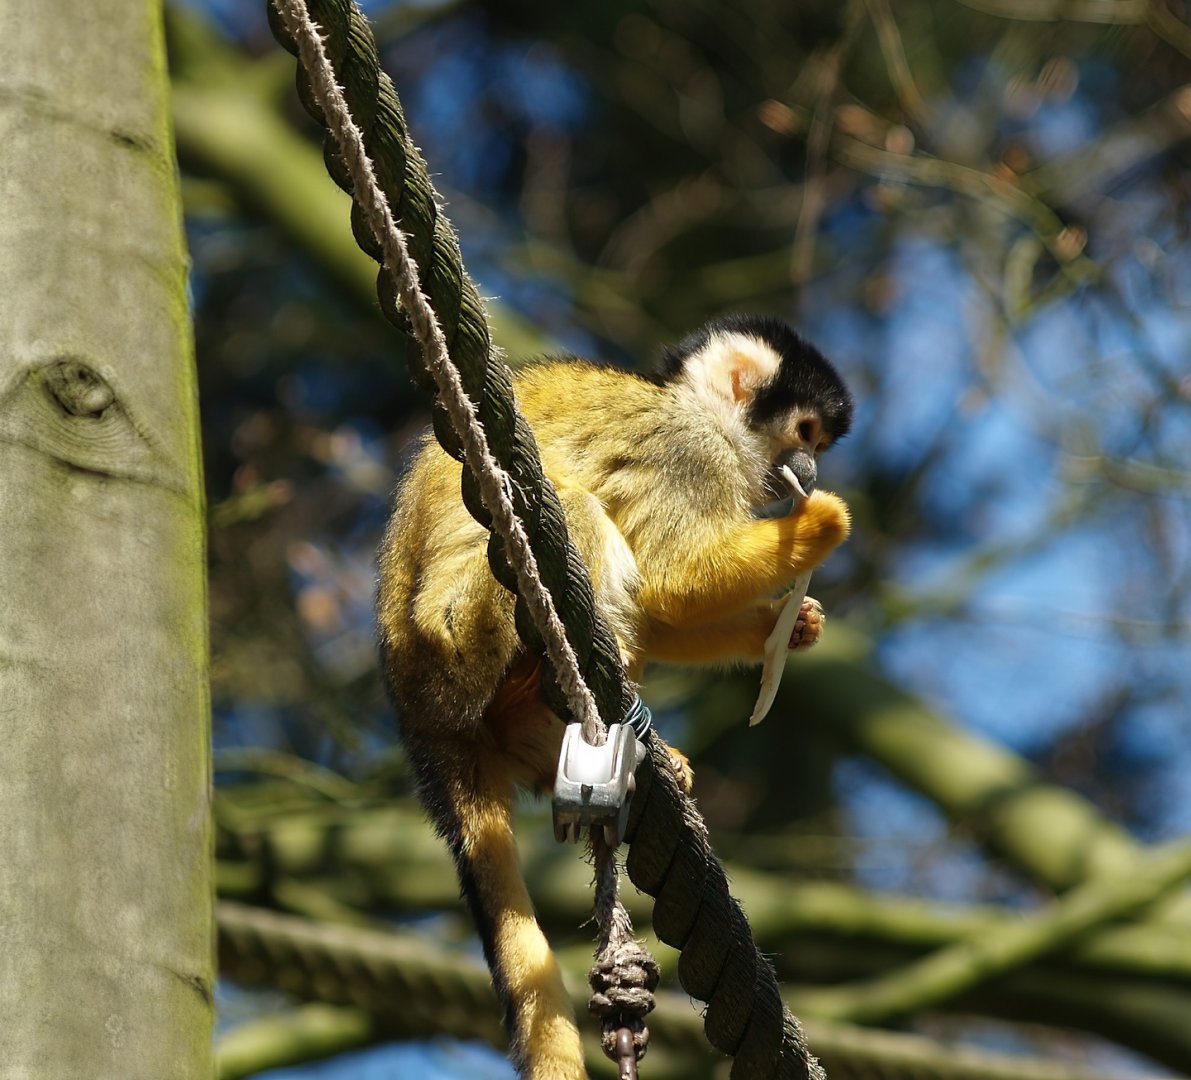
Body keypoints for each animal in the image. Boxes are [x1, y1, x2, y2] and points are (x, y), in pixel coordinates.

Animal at [377, 314, 853, 1079]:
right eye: (805, 433)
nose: (810, 474)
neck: (692, 407)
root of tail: (421, 720)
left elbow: (661, 605)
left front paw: (787, 626)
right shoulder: (686, 453)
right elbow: (674, 576)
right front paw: (823, 525)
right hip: (454, 648)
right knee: (573, 507)